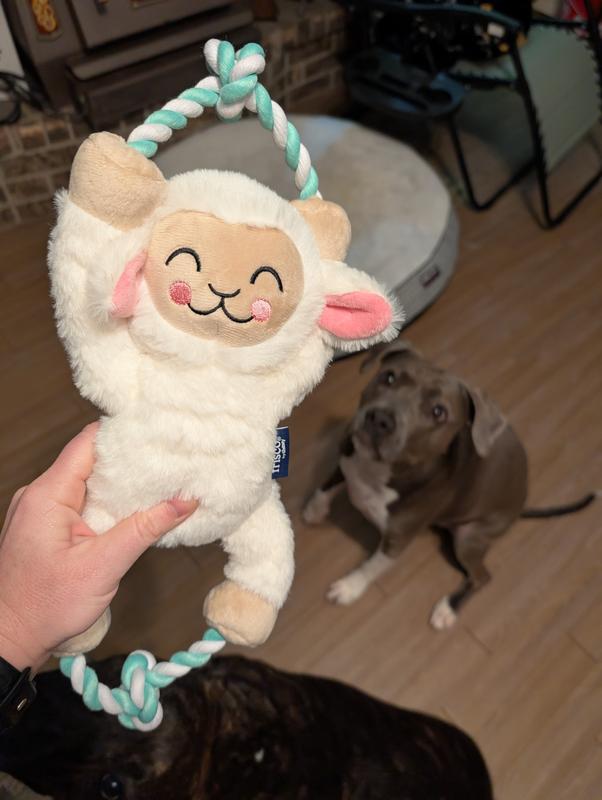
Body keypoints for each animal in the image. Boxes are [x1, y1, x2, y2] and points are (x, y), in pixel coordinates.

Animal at [303, 341, 597, 630]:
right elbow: (326, 485)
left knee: (482, 577)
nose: (380, 419)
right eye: (389, 377)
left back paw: (448, 609)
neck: (378, 471)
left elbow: (372, 566)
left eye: (438, 412)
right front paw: (314, 510)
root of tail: (520, 504)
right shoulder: (347, 455)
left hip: (469, 537)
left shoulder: (397, 539)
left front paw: (349, 587)